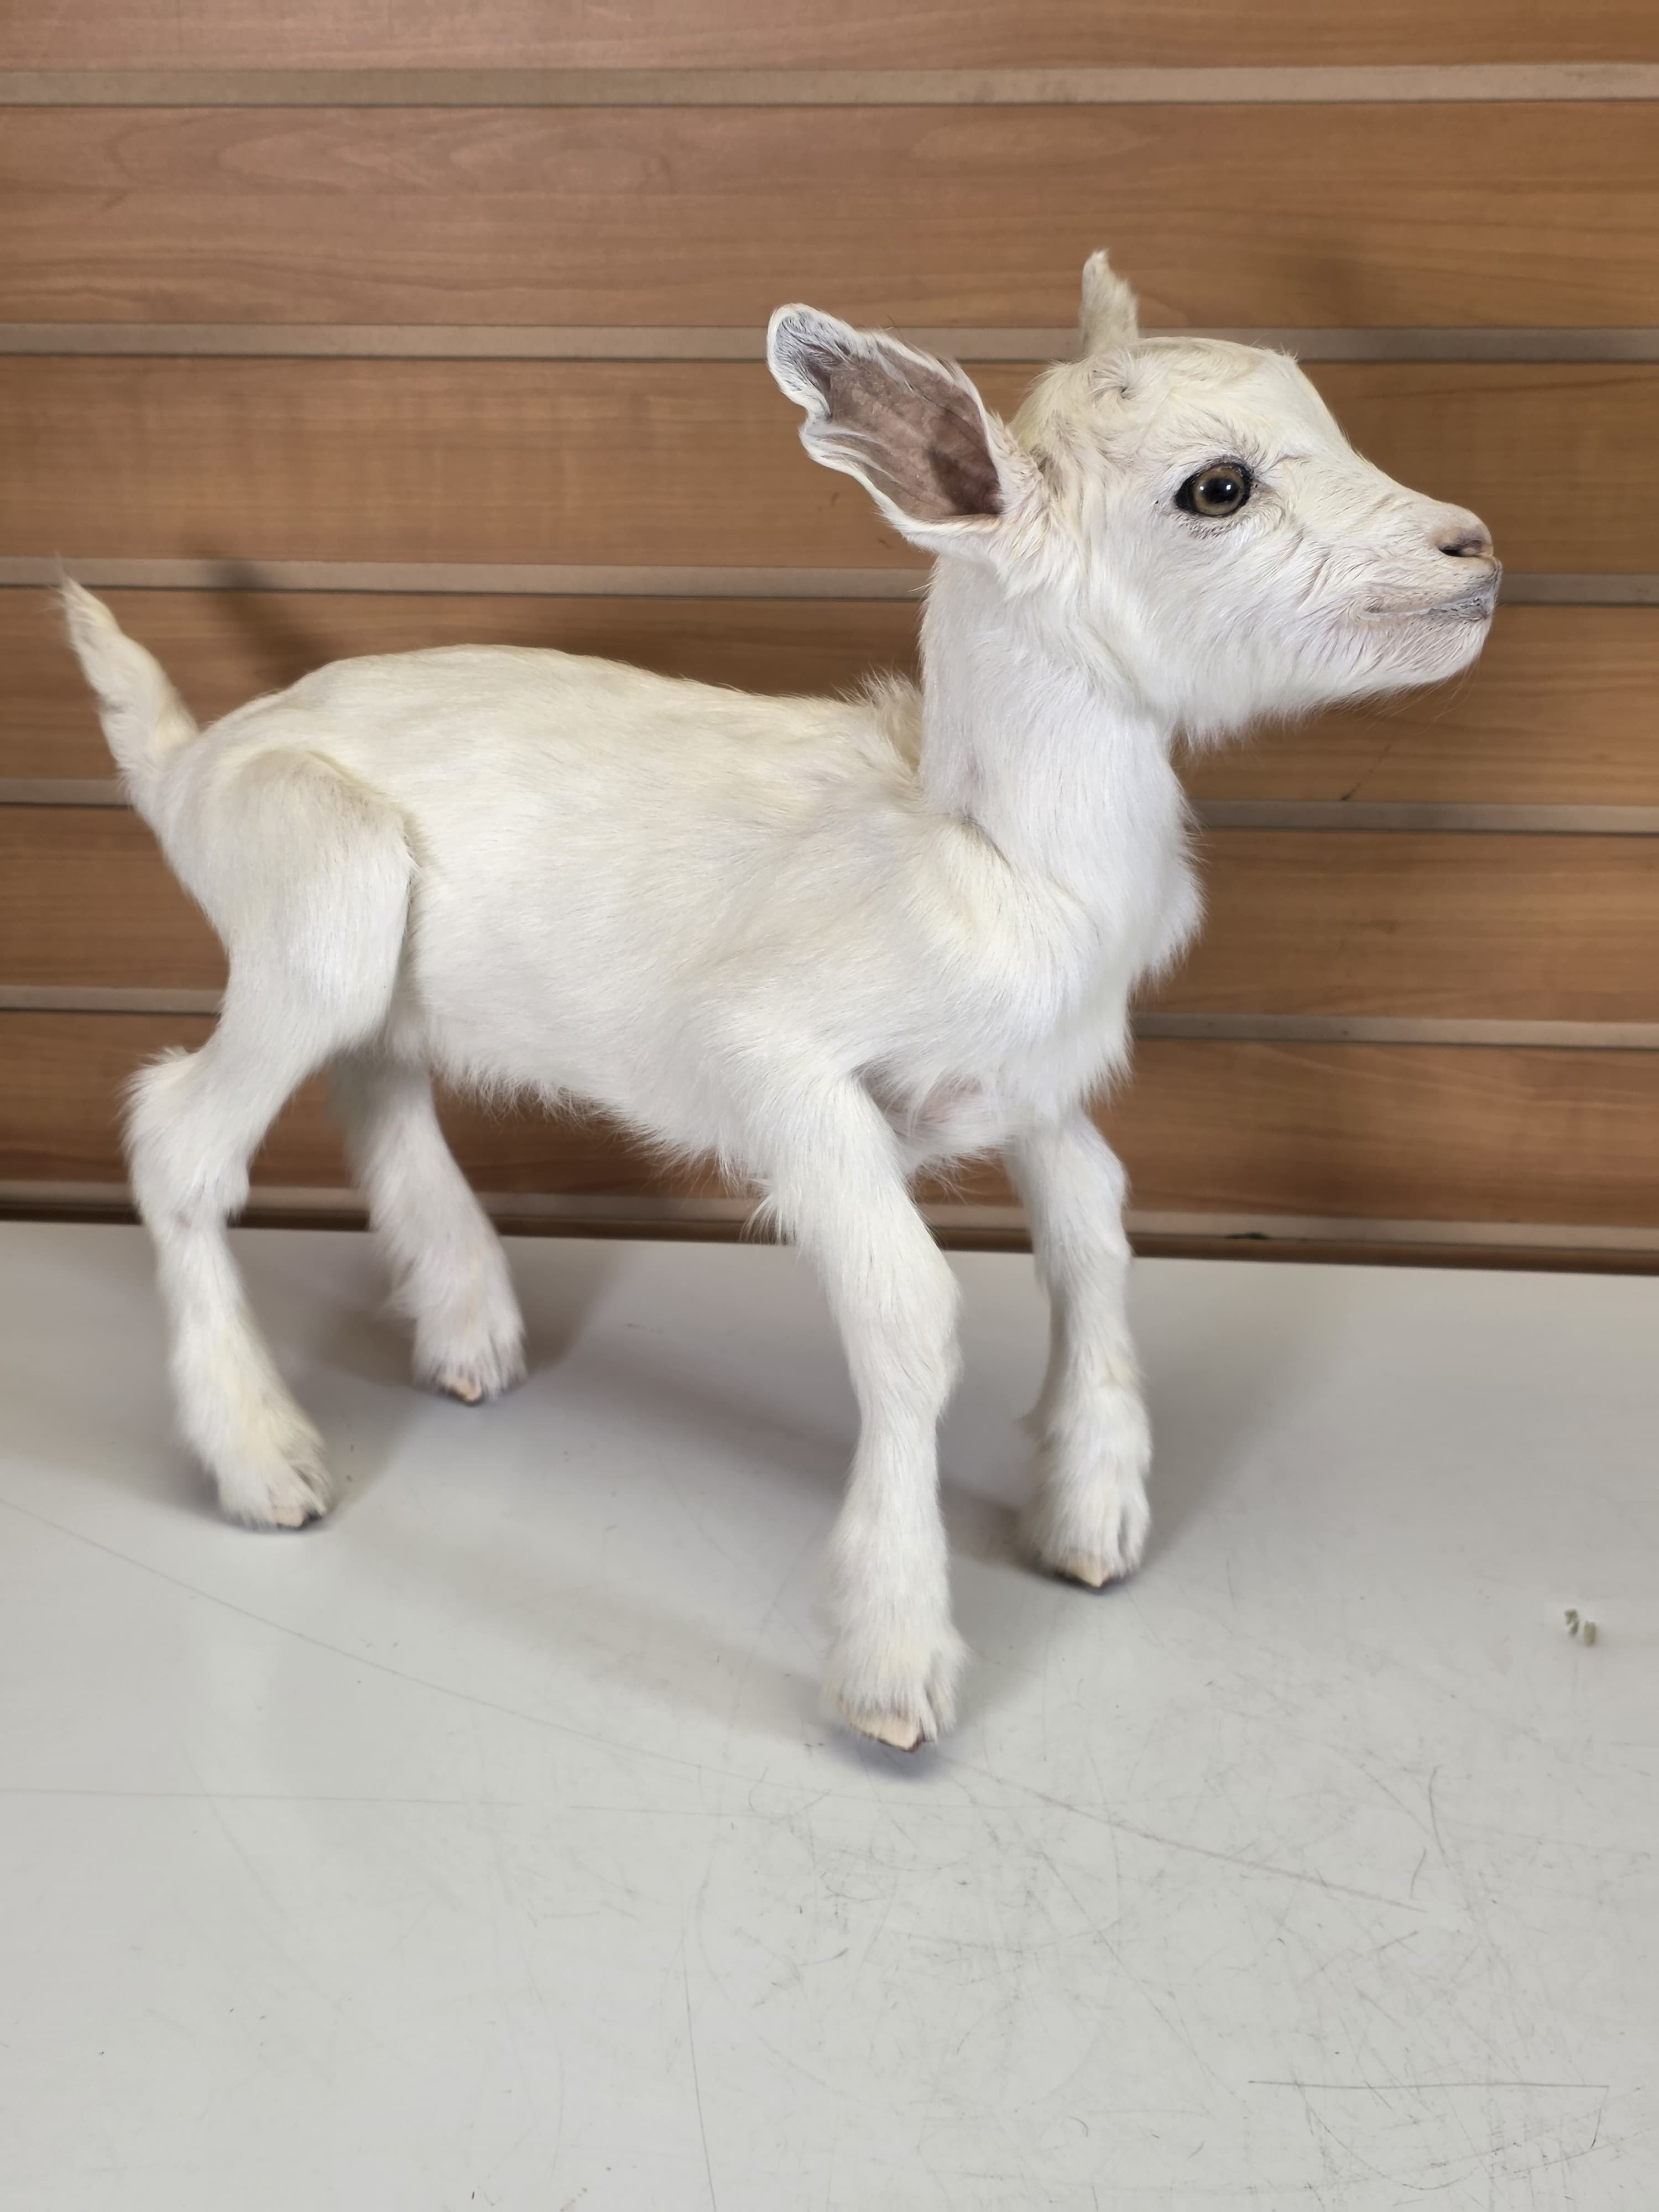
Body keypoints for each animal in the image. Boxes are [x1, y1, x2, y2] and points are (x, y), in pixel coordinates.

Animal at [63, 250, 1498, 1749]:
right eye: (1216, 487)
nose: (1470, 549)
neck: (982, 850)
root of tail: (190, 763)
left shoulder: (1037, 1083)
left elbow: (1096, 1234)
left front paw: (1090, 1519)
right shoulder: (778, 1072)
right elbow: (911, 1314)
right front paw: (892, 1666)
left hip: (375, 962)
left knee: (374, 1079)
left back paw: (467, 1334)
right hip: (310, 893)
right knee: (179, 1135)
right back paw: (267, 1462)